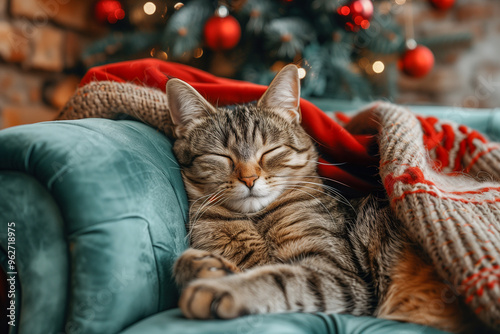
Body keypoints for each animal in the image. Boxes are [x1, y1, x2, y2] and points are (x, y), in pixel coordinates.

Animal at [168, 64, 480, 332]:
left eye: (270, 151)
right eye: (220, 157)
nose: (249, 179)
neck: (255, 219)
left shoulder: (341, 275)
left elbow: (279, 277)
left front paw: (220, 288)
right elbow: (192, 262)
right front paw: (206, 267)